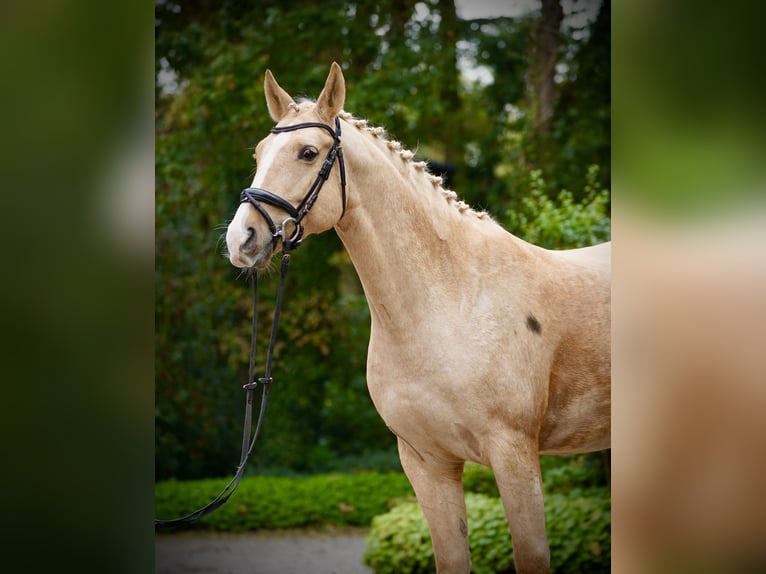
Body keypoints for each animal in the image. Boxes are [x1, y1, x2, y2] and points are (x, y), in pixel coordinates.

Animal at [225, 62, 610, 574]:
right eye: (258, 153)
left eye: (308, 152)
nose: (241, 240)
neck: (451, 300)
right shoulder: (426, 463)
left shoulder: (515, 456)